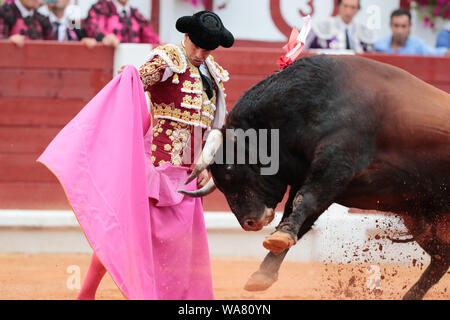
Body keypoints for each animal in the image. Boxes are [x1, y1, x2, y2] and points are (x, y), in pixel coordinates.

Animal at [180, 55, 450, 300]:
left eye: (229, 170)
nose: (250, 223)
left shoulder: (336, 164)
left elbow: (304, 200)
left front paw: (279, 239)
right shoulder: (322, 182)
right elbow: (298, 212)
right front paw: (262, 274)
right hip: (420, 217)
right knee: (442, 257)